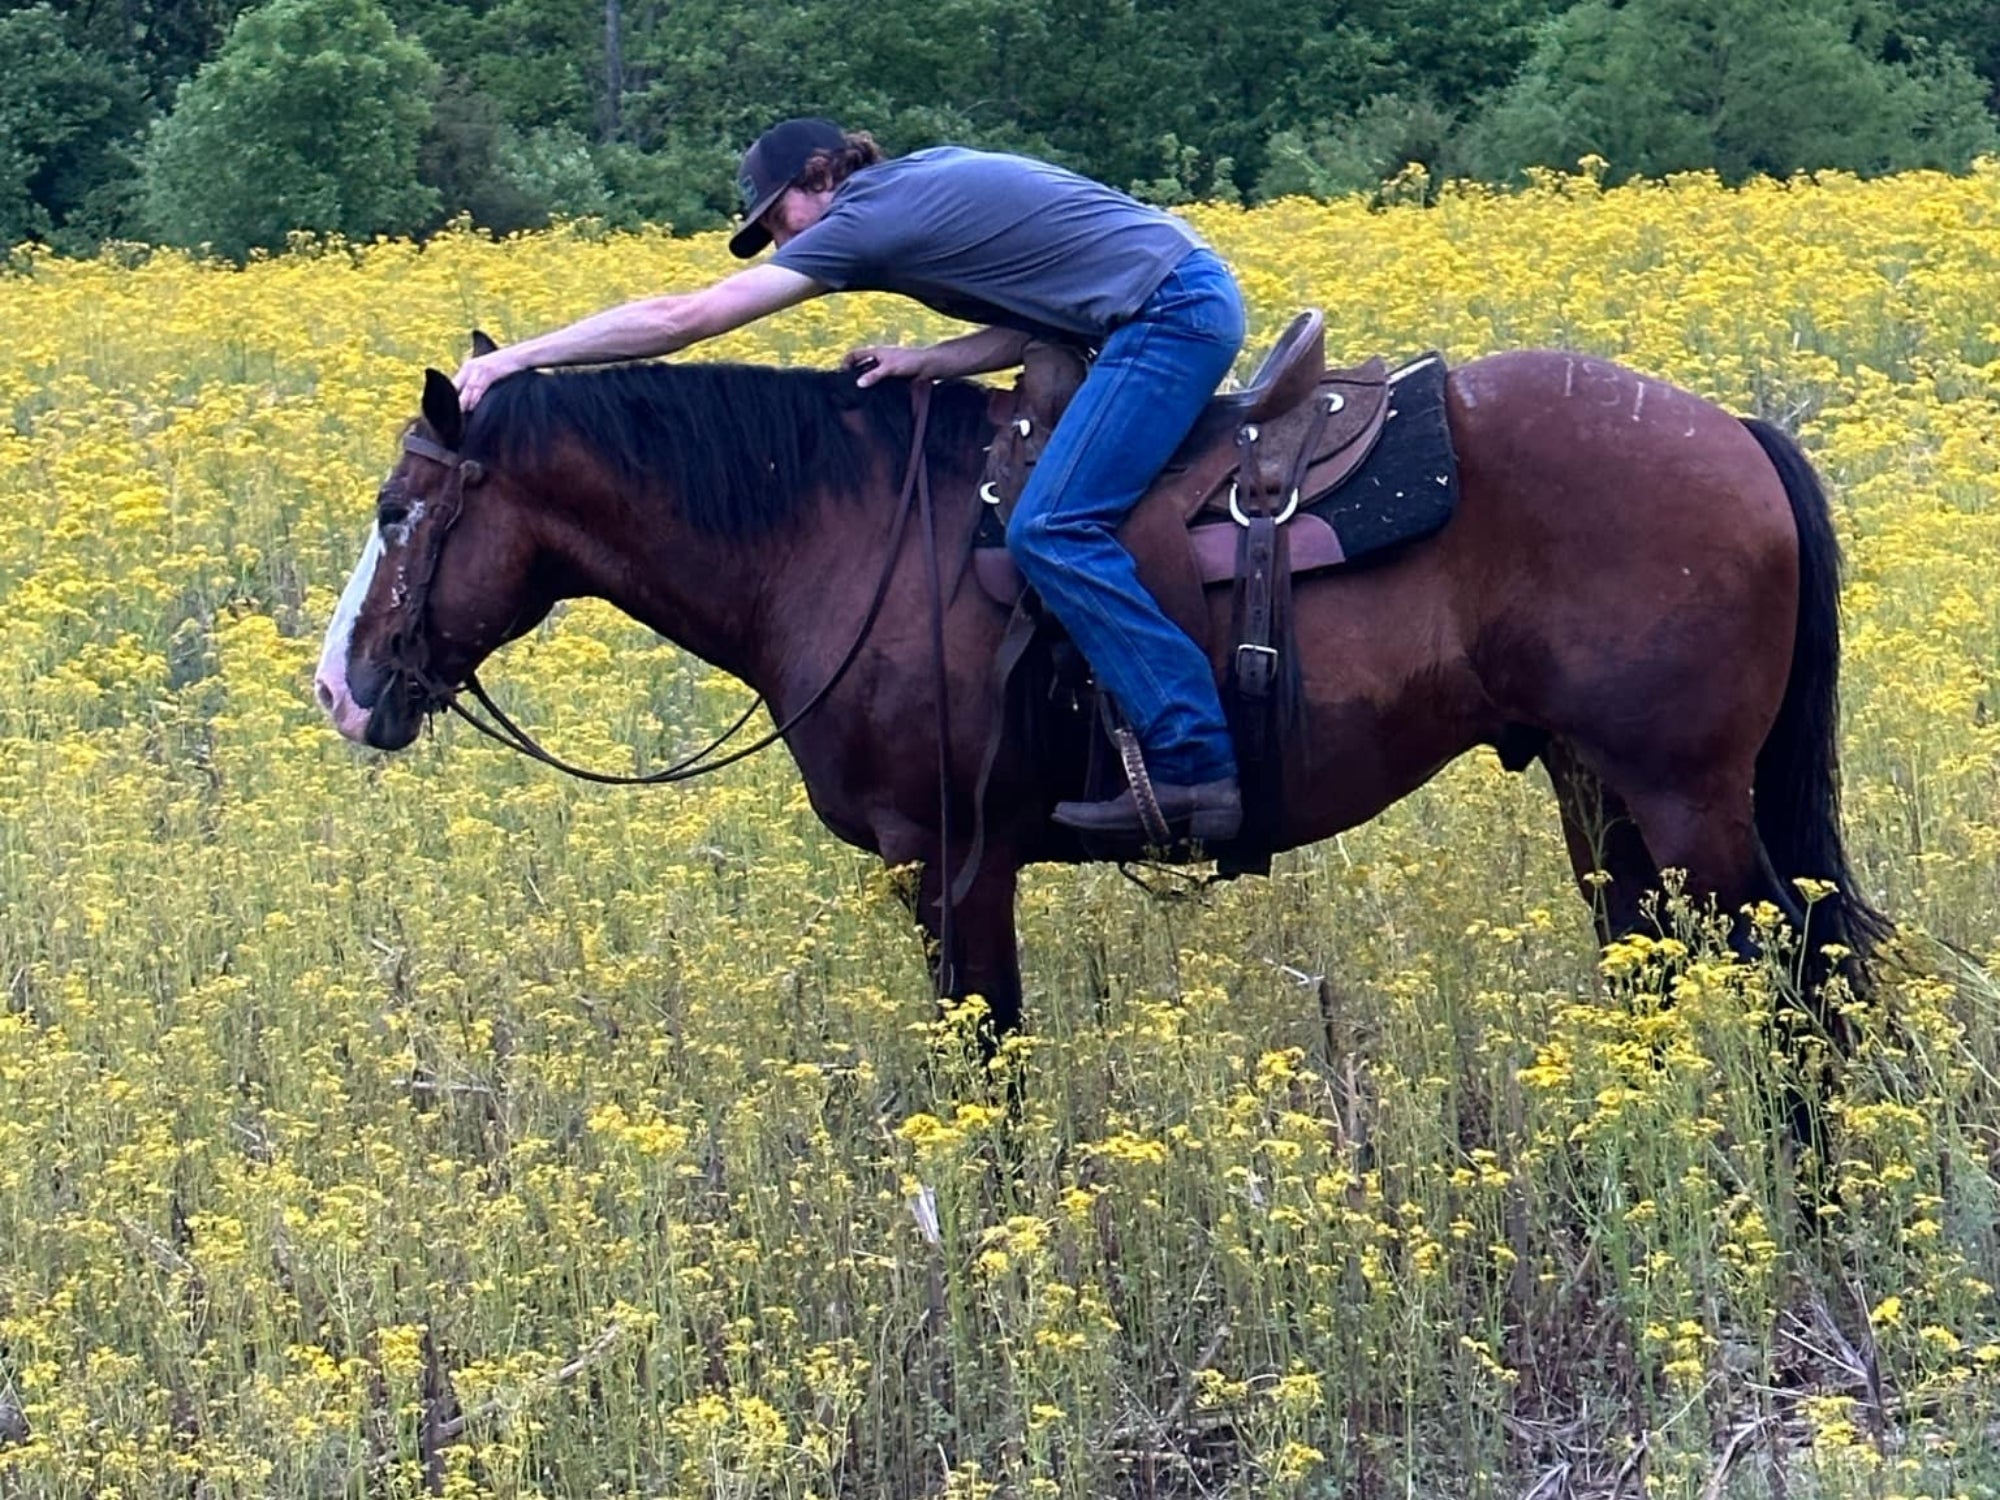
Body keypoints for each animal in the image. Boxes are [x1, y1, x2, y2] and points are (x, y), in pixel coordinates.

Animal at [316, 352, 1888, 1032]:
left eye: (398, 510)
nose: (342, 687)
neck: (844, 529)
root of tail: (1730, 430)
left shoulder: (948, 859)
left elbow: (987, 1071)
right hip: (1594, 793)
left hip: (1690, 802)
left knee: (1807, 989)